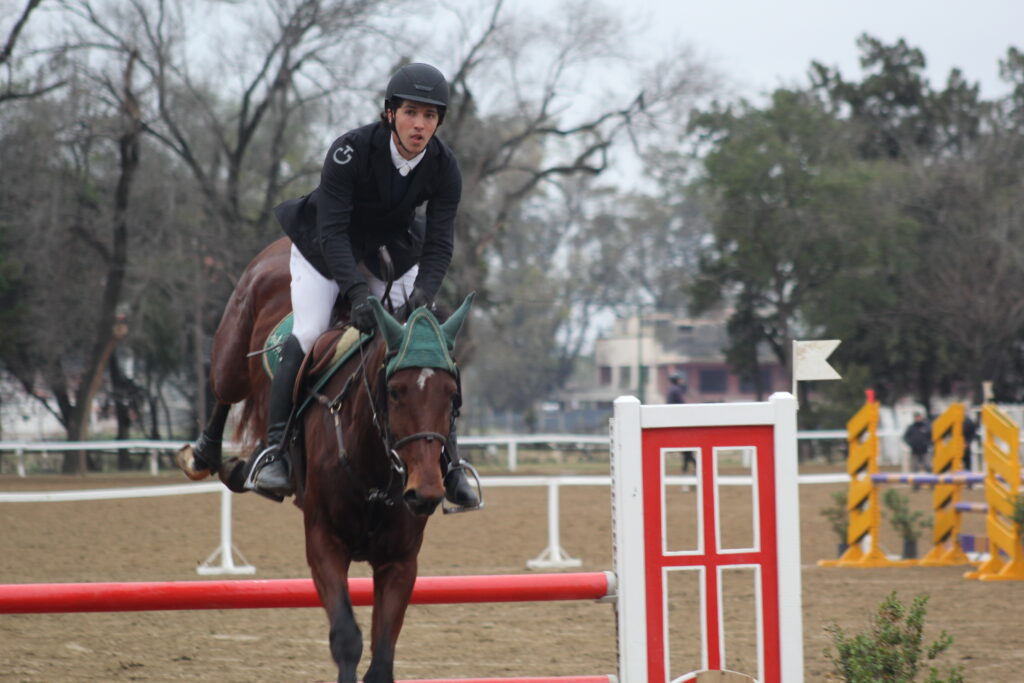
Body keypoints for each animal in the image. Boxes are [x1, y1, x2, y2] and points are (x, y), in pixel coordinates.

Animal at [175, 236, 475, 683]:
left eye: (452, 396)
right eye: (396, 391)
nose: (425, 493)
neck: (375, 472)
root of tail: (279, 245)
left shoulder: (400, 561)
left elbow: (382, 661)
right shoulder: (323, 544)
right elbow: (347, 639)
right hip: (234, 349)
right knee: (224, 387)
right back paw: (207, 454)